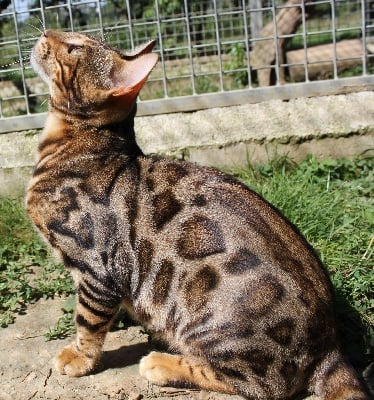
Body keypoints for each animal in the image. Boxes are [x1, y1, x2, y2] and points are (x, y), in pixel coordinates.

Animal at [27, 30, 368, 400]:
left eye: (74, 48)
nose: (45, 32)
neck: (74, 146)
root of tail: (330, 346)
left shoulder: (98, 268)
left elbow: (88, 321)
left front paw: (79, 357)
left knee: (260, 385)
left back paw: (162, 364)